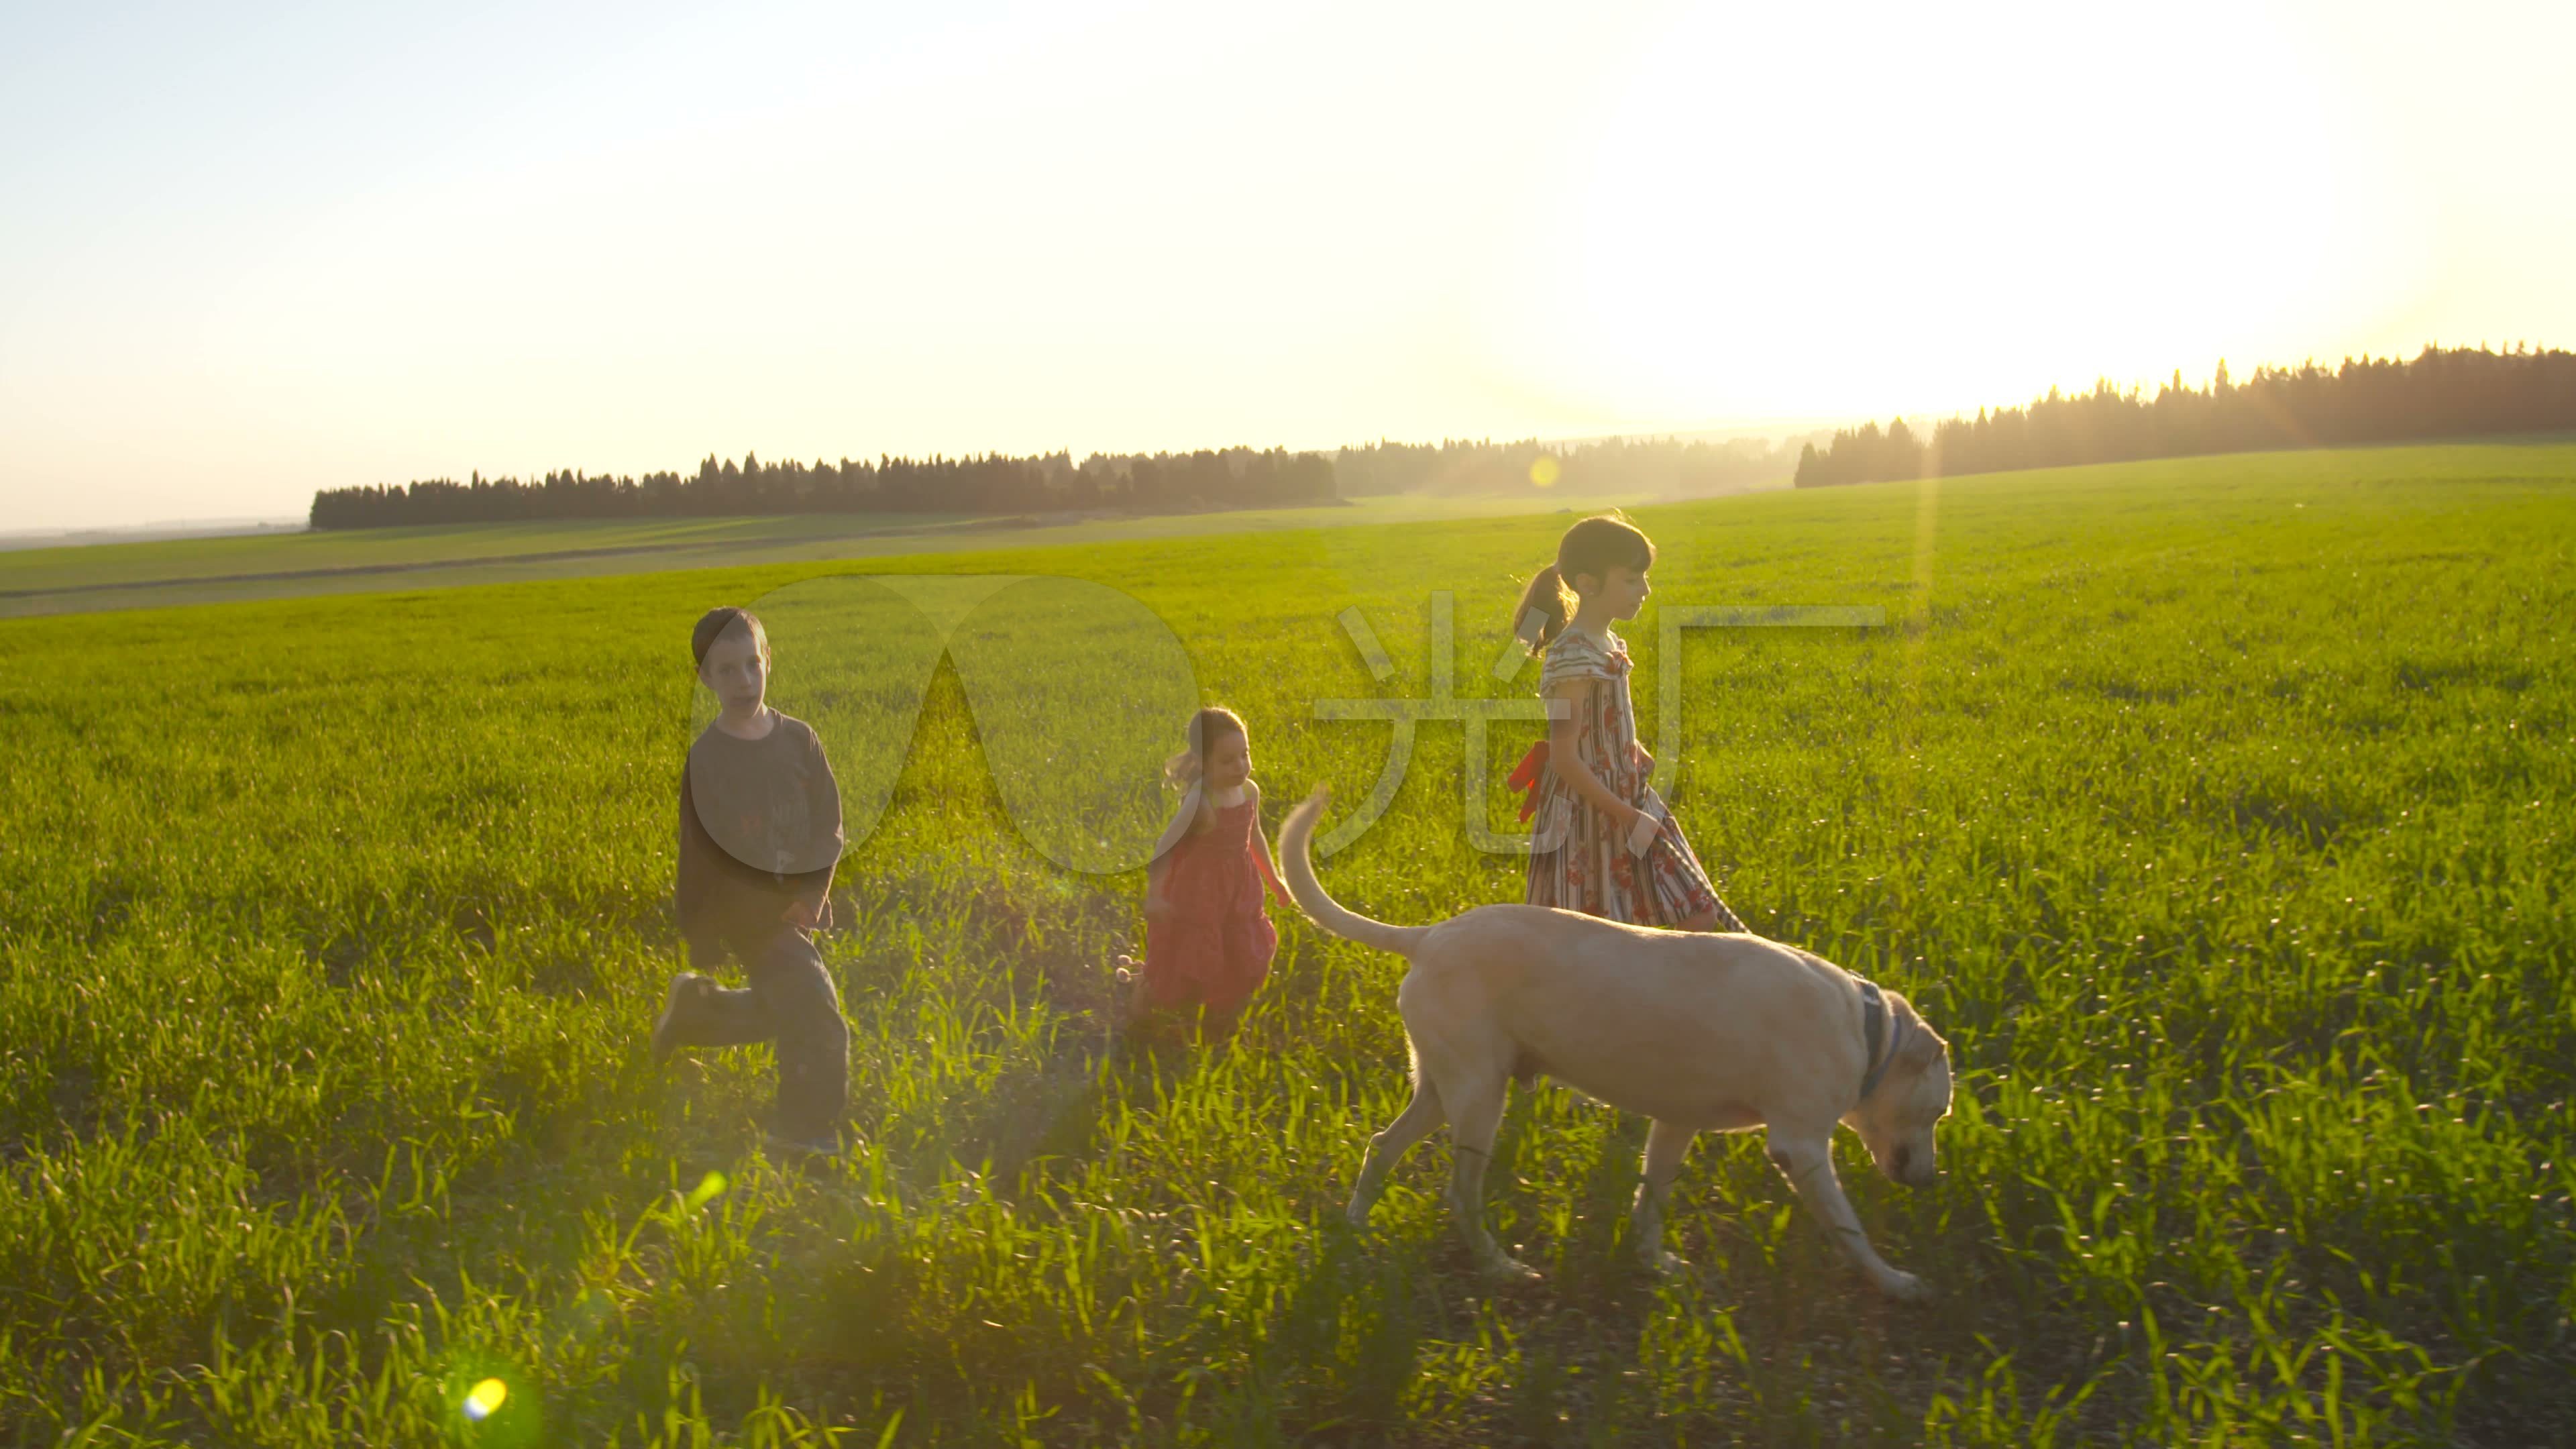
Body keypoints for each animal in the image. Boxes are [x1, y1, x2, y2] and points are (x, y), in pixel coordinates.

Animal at [1288, 789, 1947, 1299]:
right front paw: (1892, 1281)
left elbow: (1652, 1198)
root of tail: (1428, 937)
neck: (1865, 1030)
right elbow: (1849, 1228)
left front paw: (1654, 1262)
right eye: (1940, 1112)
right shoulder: (1802, 1147)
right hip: (1478, 1100)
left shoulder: (1677, 1124)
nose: (1930, 1182)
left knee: (1380, 1147)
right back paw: (1501, 1268)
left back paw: (1354, 1230)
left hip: (1443, 1089)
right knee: (1459, 1193)